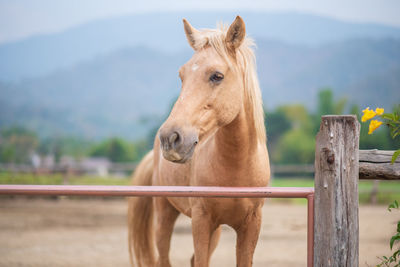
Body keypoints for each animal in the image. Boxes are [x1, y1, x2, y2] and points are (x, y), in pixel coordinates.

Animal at [127, 16, 272, 267]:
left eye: (217, 76)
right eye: (181, 75)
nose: (170, 137)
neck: (237, 166)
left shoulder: (251, 226)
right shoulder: (201, 221)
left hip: (215, 231)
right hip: (165, 215)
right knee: (163, 256)